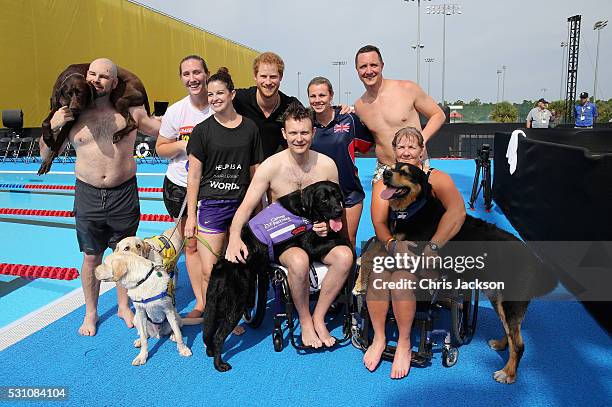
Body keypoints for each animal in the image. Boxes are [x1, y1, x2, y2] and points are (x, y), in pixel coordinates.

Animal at [372, 163, 556, 386]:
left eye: (405, 172)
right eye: (392, 167)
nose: (386, 173)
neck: (413, 210)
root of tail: (534, 260)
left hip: (510, 302)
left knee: (519, 344)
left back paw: (508, 374)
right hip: (499, 300)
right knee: (511, 334)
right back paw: (501, 344)